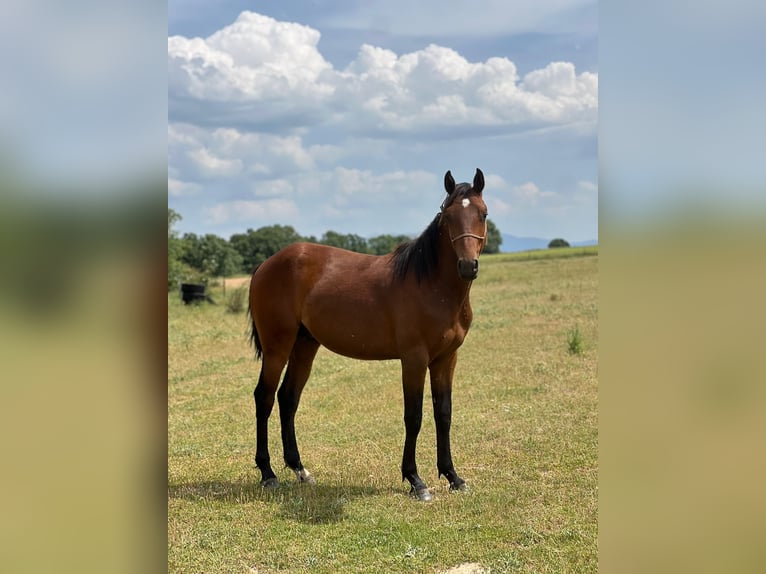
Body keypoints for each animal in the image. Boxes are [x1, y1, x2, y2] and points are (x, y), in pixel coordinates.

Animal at [246, 168, 487, 501]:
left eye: (483, 214)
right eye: (447, 216)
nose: (467, 266)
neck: (432, 286)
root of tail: (266, 264)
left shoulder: (446, 359)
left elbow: (444, 414)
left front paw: (453, 476)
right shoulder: (414, 359)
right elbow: (413, 416)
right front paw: (415, 480)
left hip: (305, 345)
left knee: (288, 398)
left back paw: (300, 470)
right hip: (277, 347)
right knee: (265, 398)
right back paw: (268, 473)